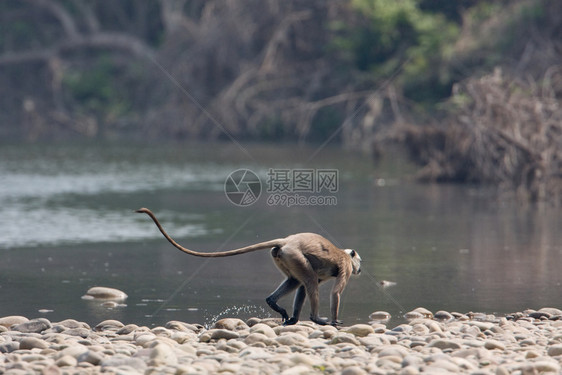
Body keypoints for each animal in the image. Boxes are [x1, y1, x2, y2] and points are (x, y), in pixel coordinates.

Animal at [138, 209, 360, 326]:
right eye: (359, 262)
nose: (360, 269)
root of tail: (287, 240)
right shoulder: (345, 265)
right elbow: (335, 292)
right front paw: (334, 321)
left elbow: (303, 288)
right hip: (294, 255)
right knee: (309, 280)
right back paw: (315, 318)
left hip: (284, 256)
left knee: (298, 281)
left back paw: (278, 307)